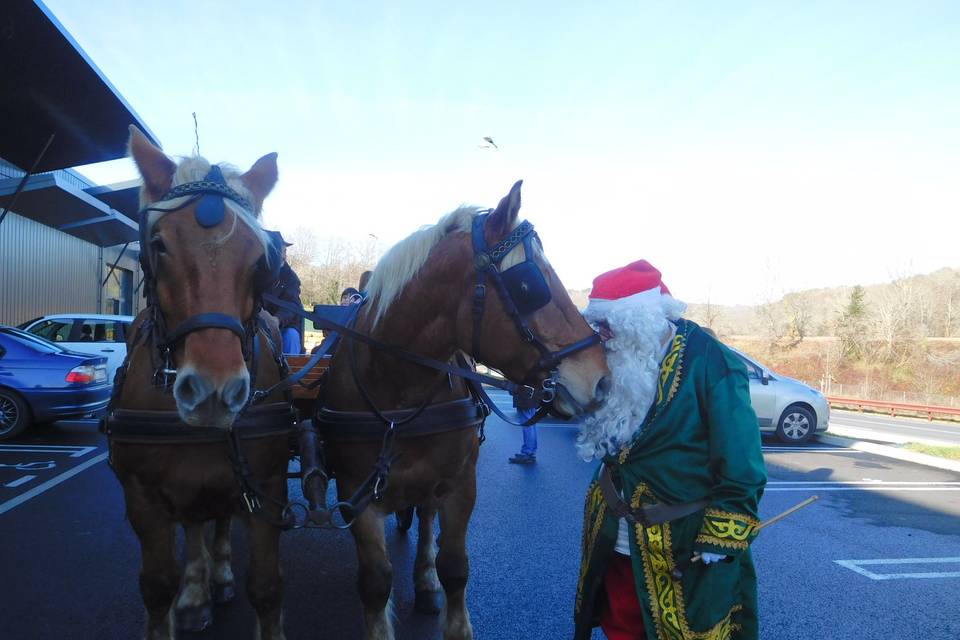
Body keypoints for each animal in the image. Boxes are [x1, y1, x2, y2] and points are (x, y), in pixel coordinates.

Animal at [104, 127, 292, 640]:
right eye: (159, 244)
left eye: (262, 259)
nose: (214, 390)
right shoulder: (142, 497)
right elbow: (157, 587)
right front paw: (185, 593)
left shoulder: (265, 484)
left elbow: (266, 587)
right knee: (194, 523)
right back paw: (195, 593)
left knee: (219, 517)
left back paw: (219, 572)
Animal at [318, 181, 612, 640]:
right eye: (530, 284)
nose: (601, 378)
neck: (401, 393)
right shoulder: (355, 493)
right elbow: (376, 581)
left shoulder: (459, 485)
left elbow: (454, 567)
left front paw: (441, 593)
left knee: (424, 519)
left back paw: (424, 582)